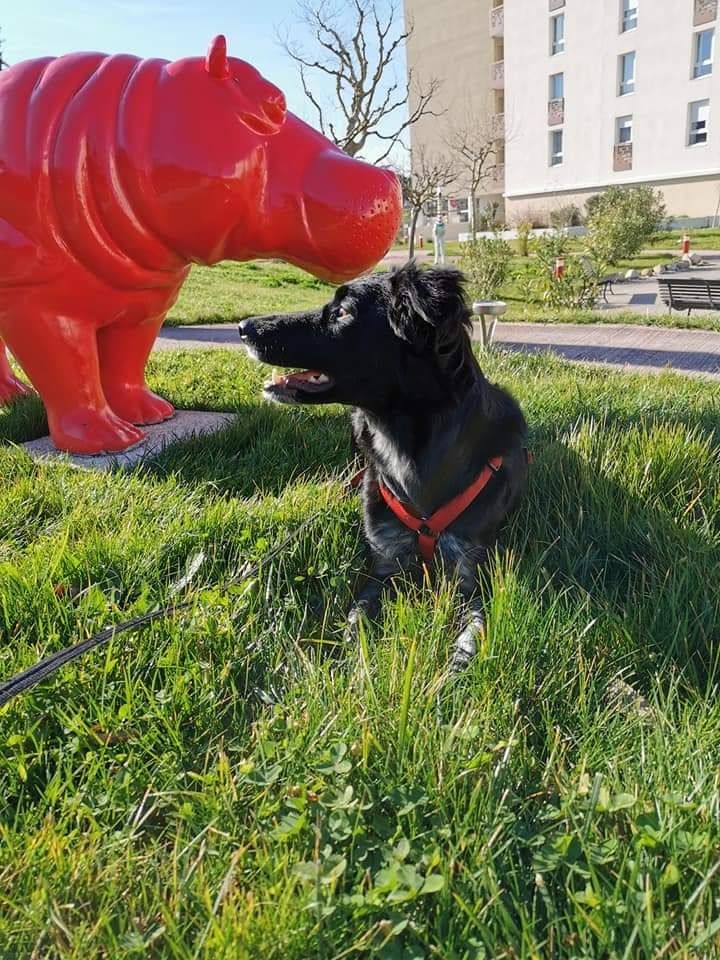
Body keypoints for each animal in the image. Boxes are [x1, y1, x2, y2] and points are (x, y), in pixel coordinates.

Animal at [239, 262, 524, 668]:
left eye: (342, 313)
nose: (243, 326)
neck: (407, 449)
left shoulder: (470, 571)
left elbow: (471, 637)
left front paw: (451, 671)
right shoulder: (384, 564)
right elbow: (355, 620)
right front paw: (352, 666)